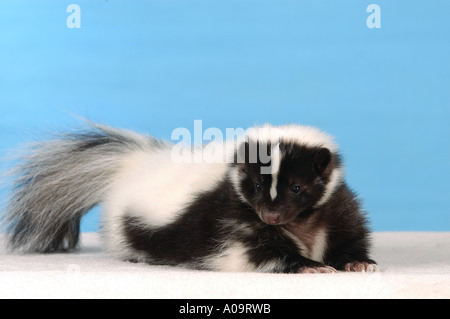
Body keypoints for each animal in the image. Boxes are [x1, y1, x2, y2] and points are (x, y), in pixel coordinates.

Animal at [2, 124, 376, 274]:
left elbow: (348, 234)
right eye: (256, 186)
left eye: (297, 188)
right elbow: (259, 252)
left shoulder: (335, 208)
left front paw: (357, 262)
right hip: (129, 228)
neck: (301, 224)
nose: (271, 216)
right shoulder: (231, 221)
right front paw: (310, 266)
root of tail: (134, 164)